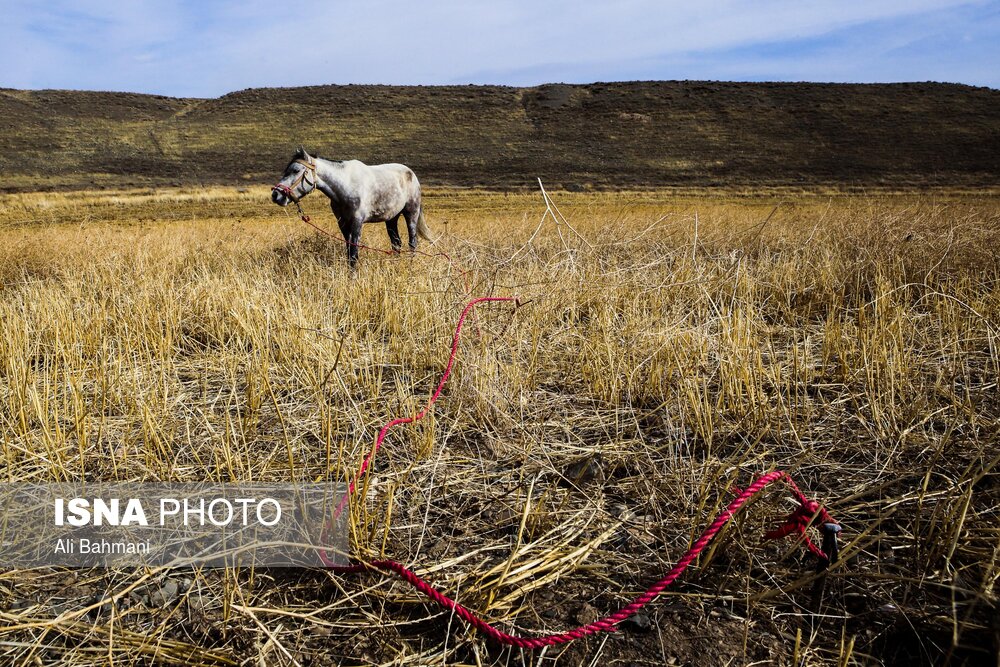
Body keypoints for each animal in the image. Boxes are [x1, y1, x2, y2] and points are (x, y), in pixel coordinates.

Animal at [272, 147, 432, 268]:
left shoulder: (357, 222)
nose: (275, 195)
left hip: (411, 213)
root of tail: (411, 174)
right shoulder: (343, 223)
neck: (346, 185)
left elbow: (354, 253)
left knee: (412, 242)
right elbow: (349, 251)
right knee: (396, 243)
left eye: (296, 170)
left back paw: (410, 265)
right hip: (391, 218)